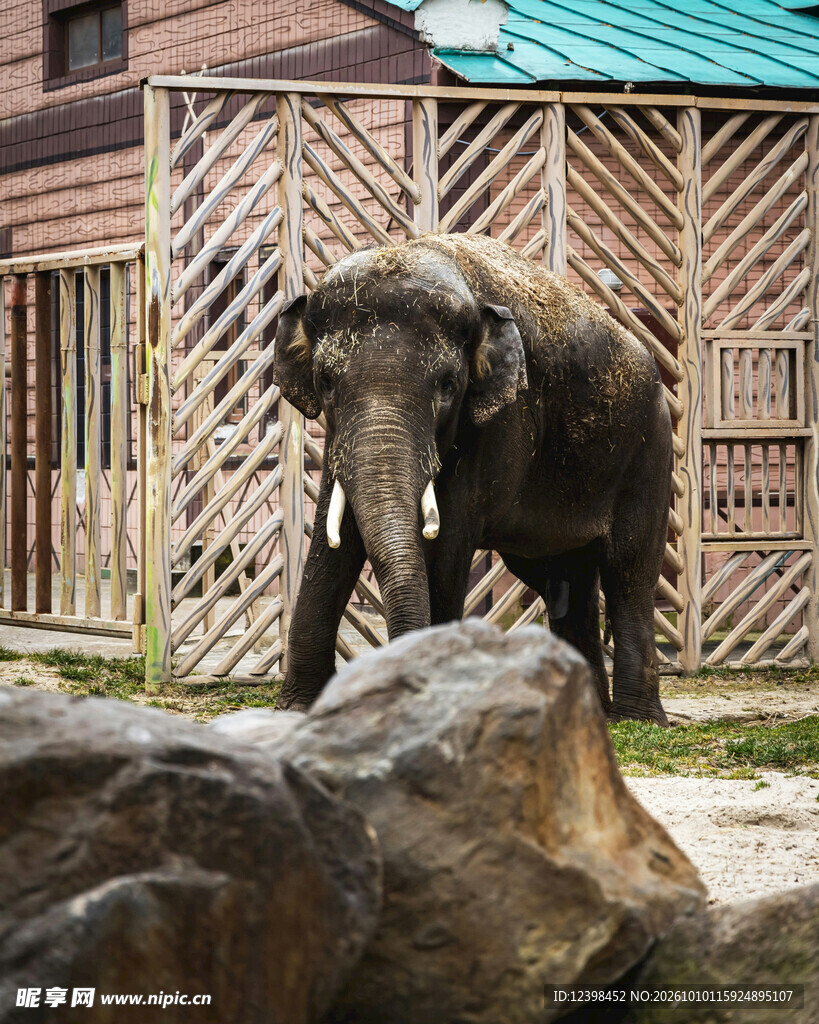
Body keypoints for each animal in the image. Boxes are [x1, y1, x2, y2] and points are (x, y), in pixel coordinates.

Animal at [273, 233, 673, 725]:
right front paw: (297, 710)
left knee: (629, 569)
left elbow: (447, 546)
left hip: (649, 452)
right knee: (566, 579)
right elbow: (335, 540)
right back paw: (585, 709)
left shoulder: (503, 422)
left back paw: (636, 719)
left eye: (447, 385)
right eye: (326, 382)